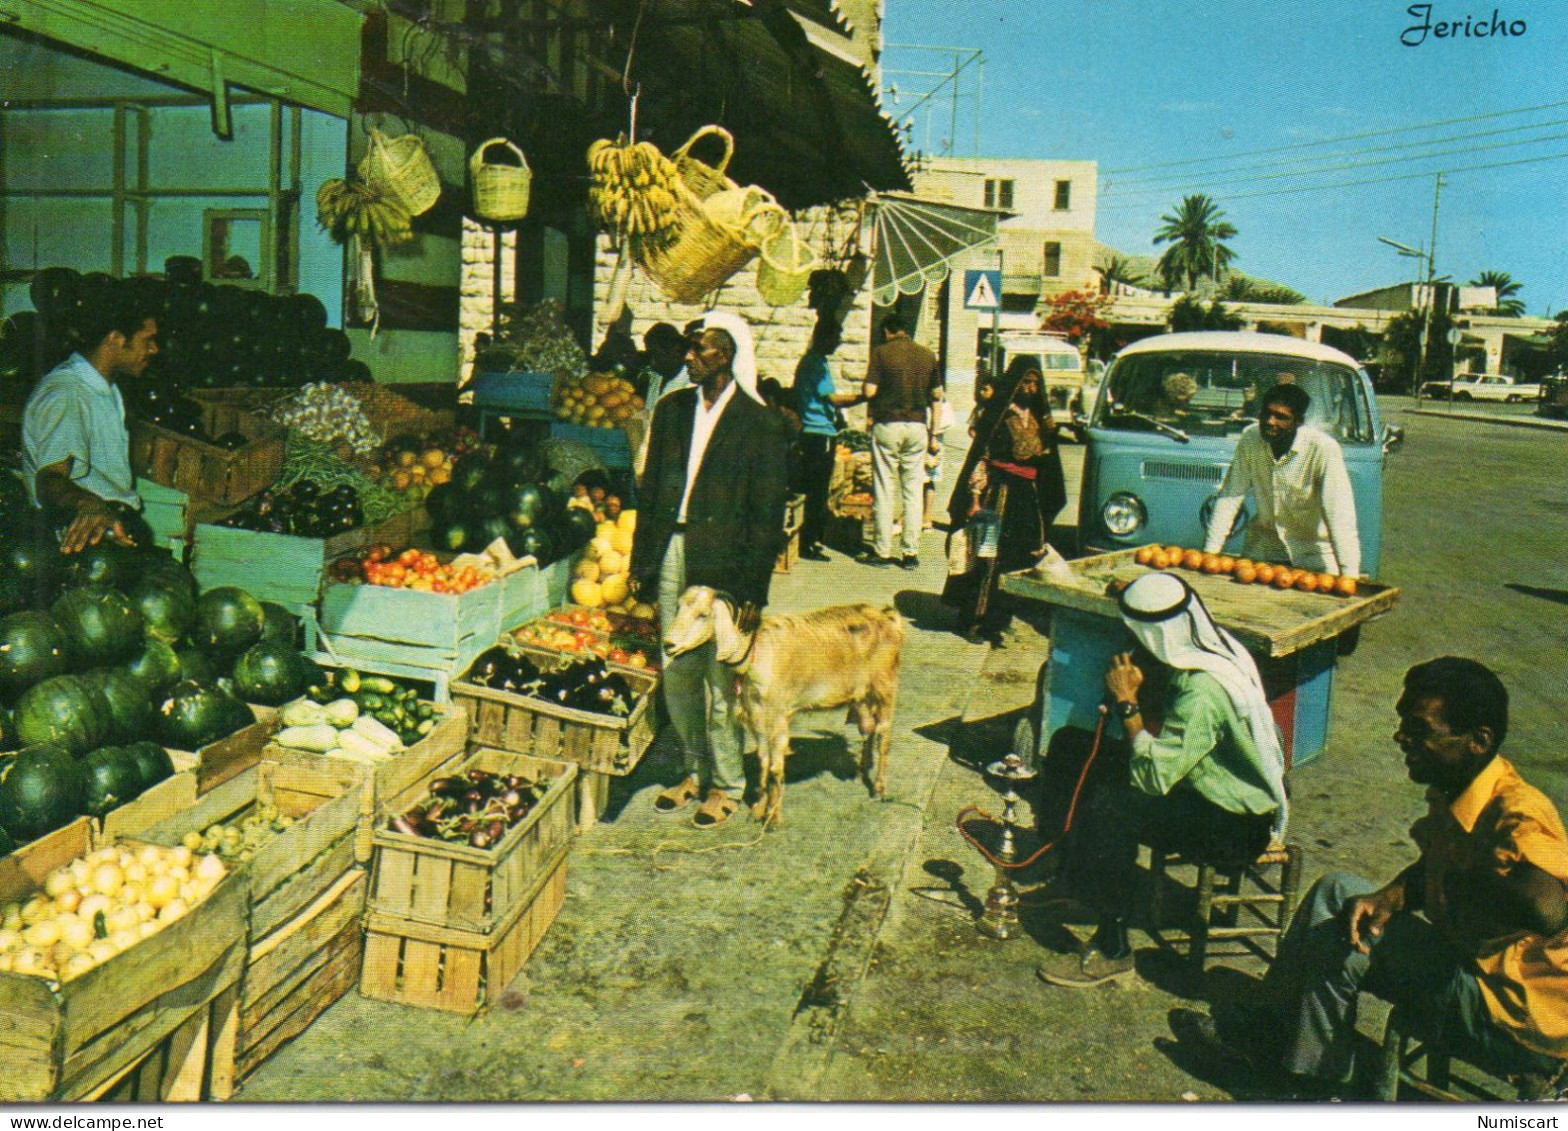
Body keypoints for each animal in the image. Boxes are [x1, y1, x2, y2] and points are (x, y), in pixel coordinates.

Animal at [661, 586, 909, 821]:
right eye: (678, 608)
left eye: (703, 615)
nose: (668, 644)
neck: (756, 651)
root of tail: (889, 618)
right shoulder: (757, 714)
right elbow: (763, 760)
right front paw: (759, 808)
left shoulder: (779, 715)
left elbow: (775, 767)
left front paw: (772, 817)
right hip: (862, 696)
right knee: (868, 728)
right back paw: (863, 768)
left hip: (886, 687)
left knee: (883, 737)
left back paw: (878, 789)